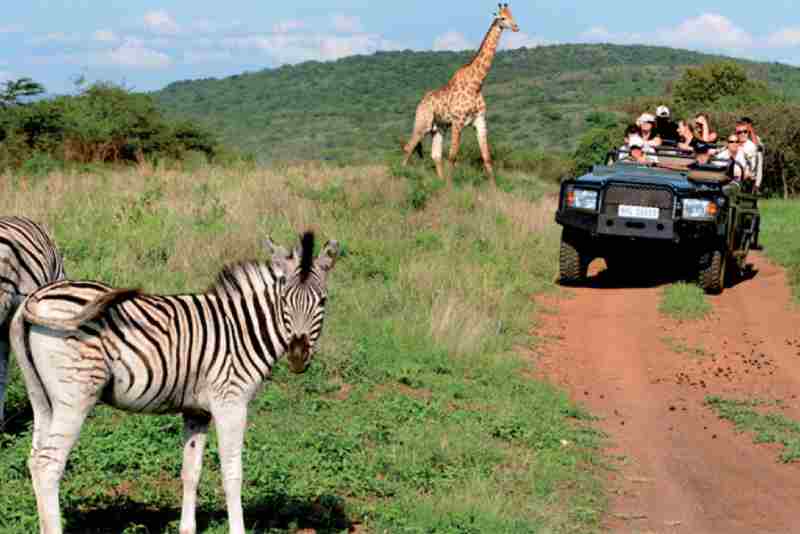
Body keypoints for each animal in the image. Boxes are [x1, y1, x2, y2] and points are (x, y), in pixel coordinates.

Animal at [10, 232, 340, 534]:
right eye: (285, 300)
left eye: (322, 301)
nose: (298, 356)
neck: (242, 330)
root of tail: (36, 297)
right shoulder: (231, 403)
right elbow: (232, 474)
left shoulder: (197, 411)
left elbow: (191, 471)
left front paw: (186, 528)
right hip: (75, 397)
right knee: (48, 465)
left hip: (41, 397)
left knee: (34, 460)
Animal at [404, 3, 520, 184]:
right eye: (502, 18)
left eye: (512, 15)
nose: (516, 27)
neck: (476, 85)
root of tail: (420, 103)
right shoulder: (458, 122)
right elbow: (453, 156)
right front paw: (450, 186)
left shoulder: (480, 121)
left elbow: (486, 157)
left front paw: (494, 187)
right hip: (422, 123)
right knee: (408, 147)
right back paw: (400, 174)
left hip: (439, 128)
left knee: (435, 155)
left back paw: (439, 182)